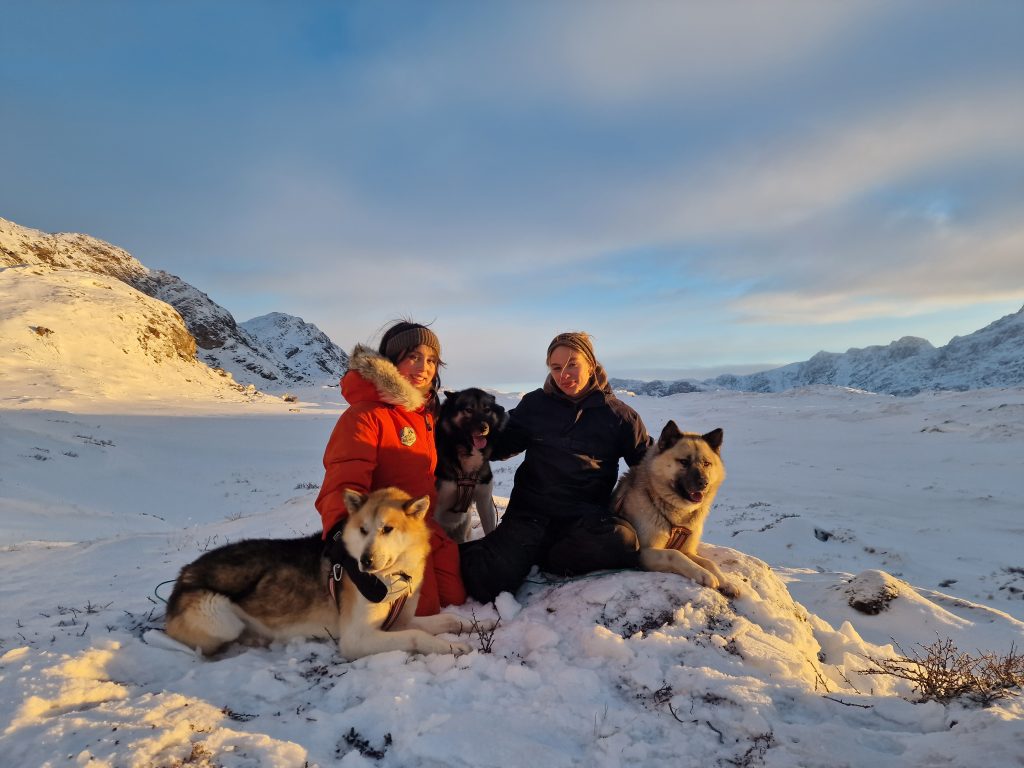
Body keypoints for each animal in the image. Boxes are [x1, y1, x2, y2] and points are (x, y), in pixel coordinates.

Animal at [165, 487, 485, 663]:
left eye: (387, 529)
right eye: (363, 530)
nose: (366, 561)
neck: (391, 578)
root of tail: (184, 574)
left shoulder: (400, 621)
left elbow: (448, 619)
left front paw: (483, 622)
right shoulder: (358, 638)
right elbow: (418, 636)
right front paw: (452, 646)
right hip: (219, 616)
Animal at [610, 423, 741, 598]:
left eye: (706, 463)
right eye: (684, 461)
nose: (704, 482)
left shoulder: (688, 550)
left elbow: (709, 562)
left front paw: (726, 581)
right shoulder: (643, 553)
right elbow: (674, 554)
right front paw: (703, 574)